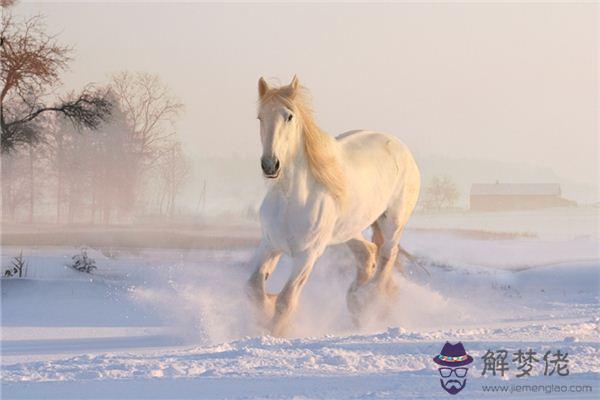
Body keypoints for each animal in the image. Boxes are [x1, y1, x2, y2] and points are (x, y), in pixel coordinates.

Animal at [246, 76, 420, 336]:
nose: (270, 165)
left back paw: (368, 300)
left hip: (393, 222)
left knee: (387, 255)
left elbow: (286, 301)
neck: (290, 200)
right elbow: (254, 288)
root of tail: (400, 147)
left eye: (289, 116)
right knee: (367, 253)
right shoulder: (270, 244)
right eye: (260, 117)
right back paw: (356, 303)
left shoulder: (308, 254)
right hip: (348, 229)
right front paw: (265, 314)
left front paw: (275, 332)